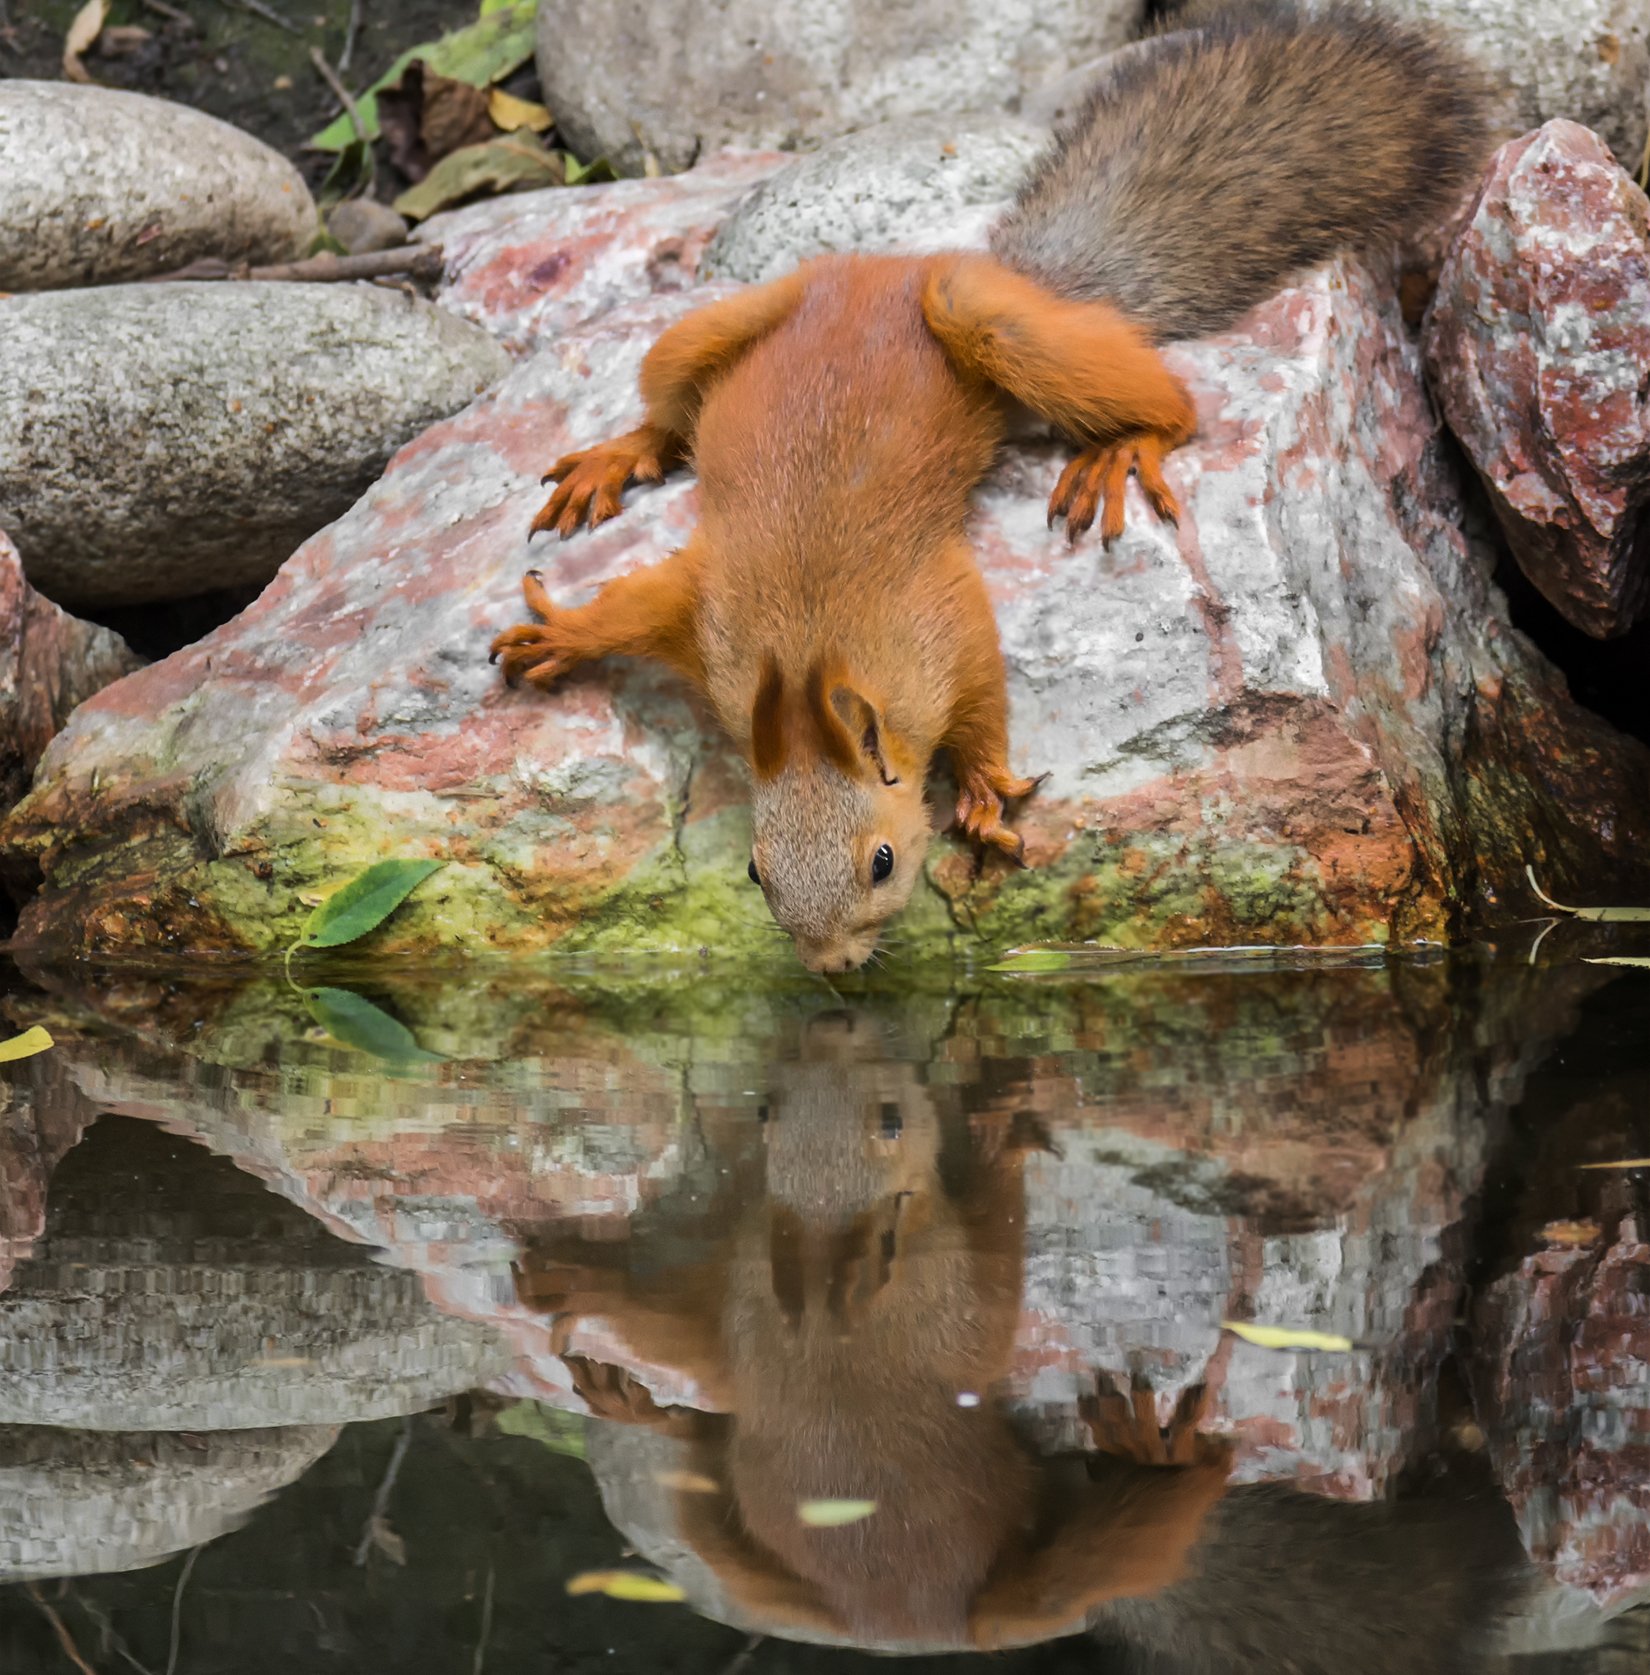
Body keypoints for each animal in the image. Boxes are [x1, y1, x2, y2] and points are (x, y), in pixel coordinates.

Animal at [485, 3, 1480, 971]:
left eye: (883, 862)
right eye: (757, 871)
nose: (831, 966)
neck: (806, 661)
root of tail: (941, 270)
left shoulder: (940, 608)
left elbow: (982, 691)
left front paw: (985, 785)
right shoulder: (711, 603)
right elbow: (641, 603)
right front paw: (563, 634)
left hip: (985, 326)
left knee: (1170, 403)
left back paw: (1124, 448)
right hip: (719, 327)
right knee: (669, 413)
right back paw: (615, 459)